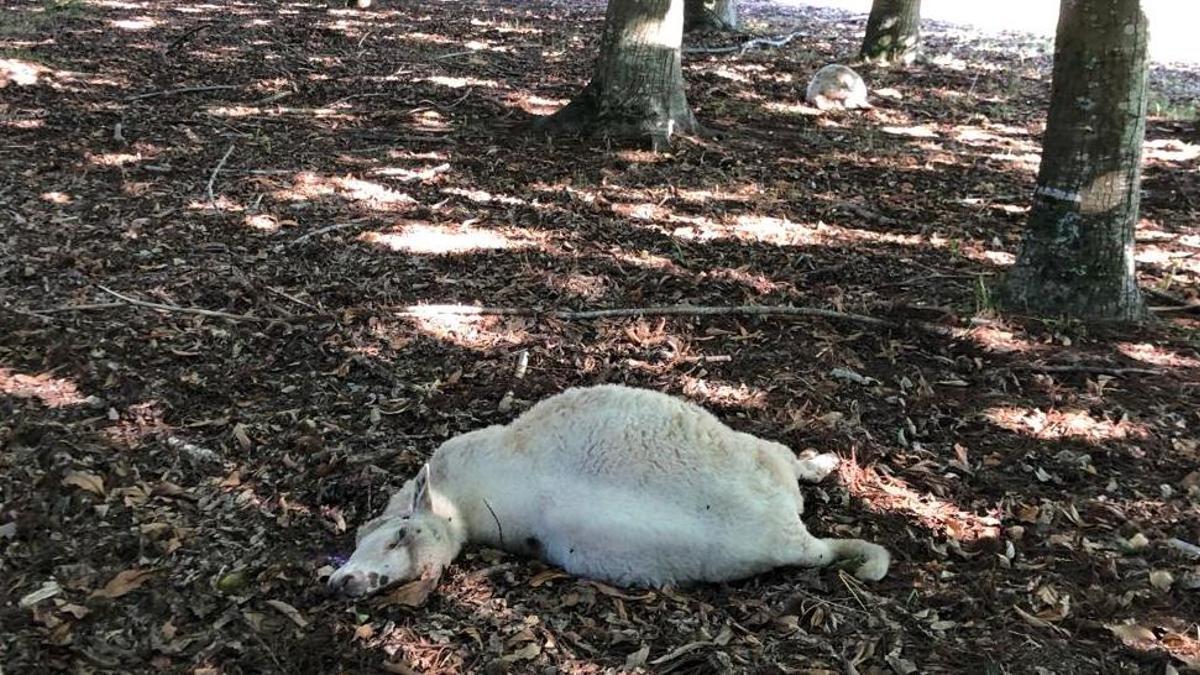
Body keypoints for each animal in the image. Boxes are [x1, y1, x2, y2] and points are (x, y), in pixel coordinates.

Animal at [328, 384, 889, 598]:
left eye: (399, 536)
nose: (342, 582)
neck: (456, 504)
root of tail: (791, 538)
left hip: (756, 453)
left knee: (788, 458)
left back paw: (822, 462)